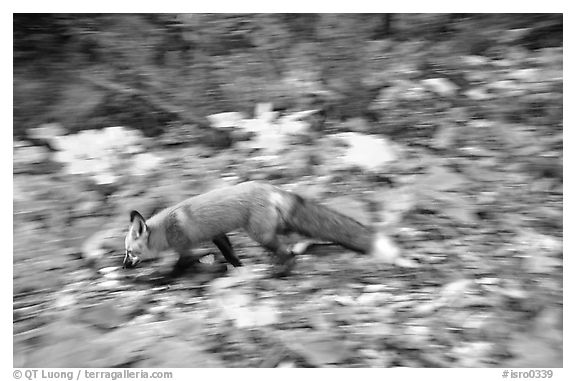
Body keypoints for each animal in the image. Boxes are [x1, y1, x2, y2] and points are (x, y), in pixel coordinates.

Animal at [121, 181, 400, 276]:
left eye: (129, 252)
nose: (123, 267)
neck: (167, 229)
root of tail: (271, 188)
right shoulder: (217, 235)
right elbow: (230, 254)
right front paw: (238, 268)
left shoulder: (186, 248)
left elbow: (178, 267)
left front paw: (161, 279)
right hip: (277, 228)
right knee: (300, 240)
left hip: (259, 234)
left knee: (286, 252)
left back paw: (283, 270)